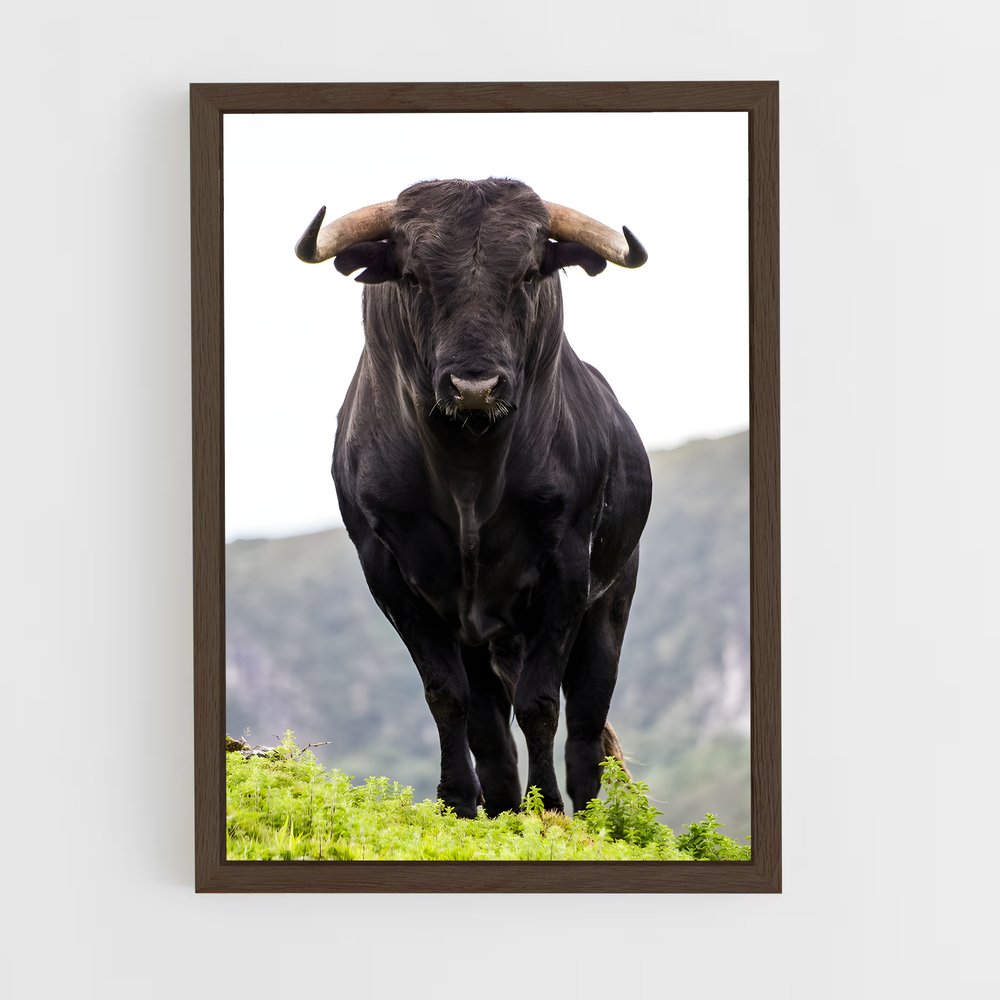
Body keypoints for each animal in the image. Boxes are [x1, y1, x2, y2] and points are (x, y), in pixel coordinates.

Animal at [296, 178, 651, 818]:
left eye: (530, 272)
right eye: (414, 276)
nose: (475, 386)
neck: (469, 470)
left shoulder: (567, 570)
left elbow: (541, 703)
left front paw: (548, 809)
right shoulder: (390, 574)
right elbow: (447, 697)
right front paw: (459, 802)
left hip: (609, 604)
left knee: (588, 724)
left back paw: (585, 814)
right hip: (483, 634)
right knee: (491, 731)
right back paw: (503, 805)